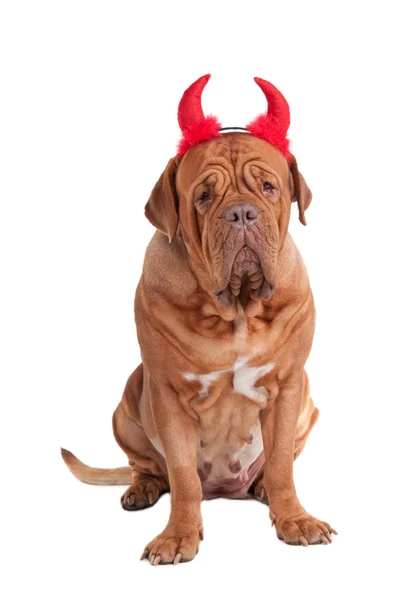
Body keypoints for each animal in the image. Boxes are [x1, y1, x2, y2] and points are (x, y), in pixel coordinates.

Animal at [62, 74, 336, 564]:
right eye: (203, 197)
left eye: (269, 188)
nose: (241, 213)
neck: (236, 312)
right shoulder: (168, 394)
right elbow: (184, 477)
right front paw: (177, 536)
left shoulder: (289, 387)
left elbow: (282, 465)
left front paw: (294, 519)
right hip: (127, 403)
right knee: (150, 467)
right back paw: (142, 490)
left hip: (309, 404)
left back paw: (260, 488)